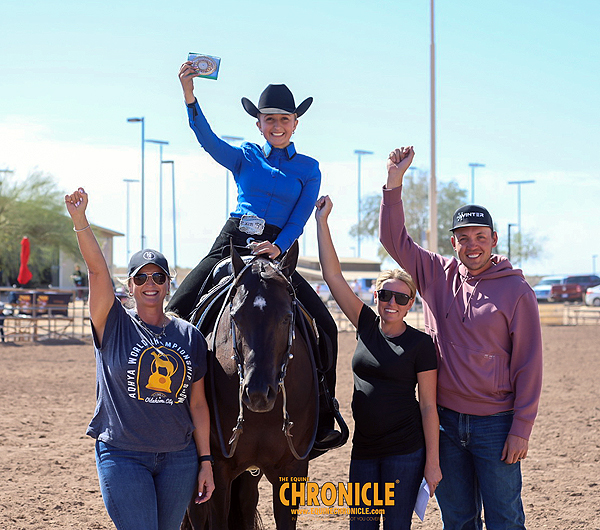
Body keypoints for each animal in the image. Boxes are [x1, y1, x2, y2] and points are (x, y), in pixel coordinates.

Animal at [183, 241, 320, 530]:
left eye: (286, 317)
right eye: (235, 316)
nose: (257, 394)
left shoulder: (293, 470)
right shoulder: (218, 470)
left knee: (246, 505)